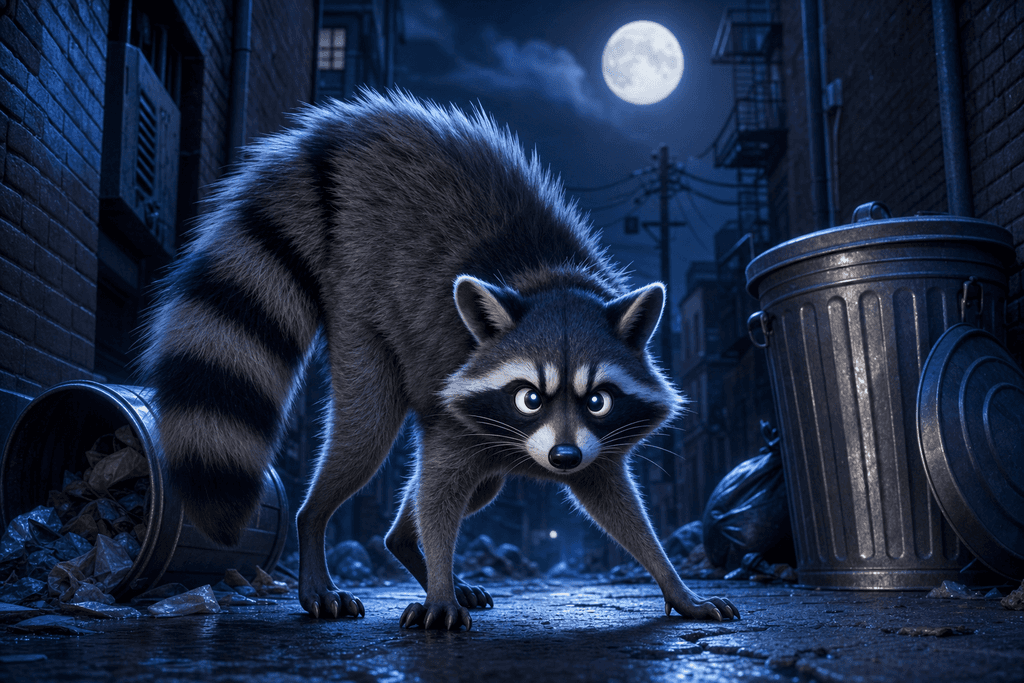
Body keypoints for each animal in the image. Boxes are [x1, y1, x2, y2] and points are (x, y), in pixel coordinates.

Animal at [140, 90, 738, 631]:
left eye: (597, 400)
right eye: (529, 397)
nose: (563, 457)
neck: (554, 286)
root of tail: (340, 137)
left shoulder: (594, 443)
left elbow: (616, 502)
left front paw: (674, 583)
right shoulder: (457, 398)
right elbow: (439, 489)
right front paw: (440, 591)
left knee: (471, 488)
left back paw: (407, 545)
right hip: (360, 302)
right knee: (367, 433)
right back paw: (322, 540)